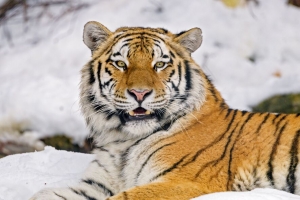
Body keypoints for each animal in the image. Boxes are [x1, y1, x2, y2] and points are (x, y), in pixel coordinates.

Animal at [29, 21, 300, 199]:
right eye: (121, 64)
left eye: (159, 64)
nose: (139, 93)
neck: (121, 140)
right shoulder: (96, 184)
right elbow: (43, 194)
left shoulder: (182, 181)